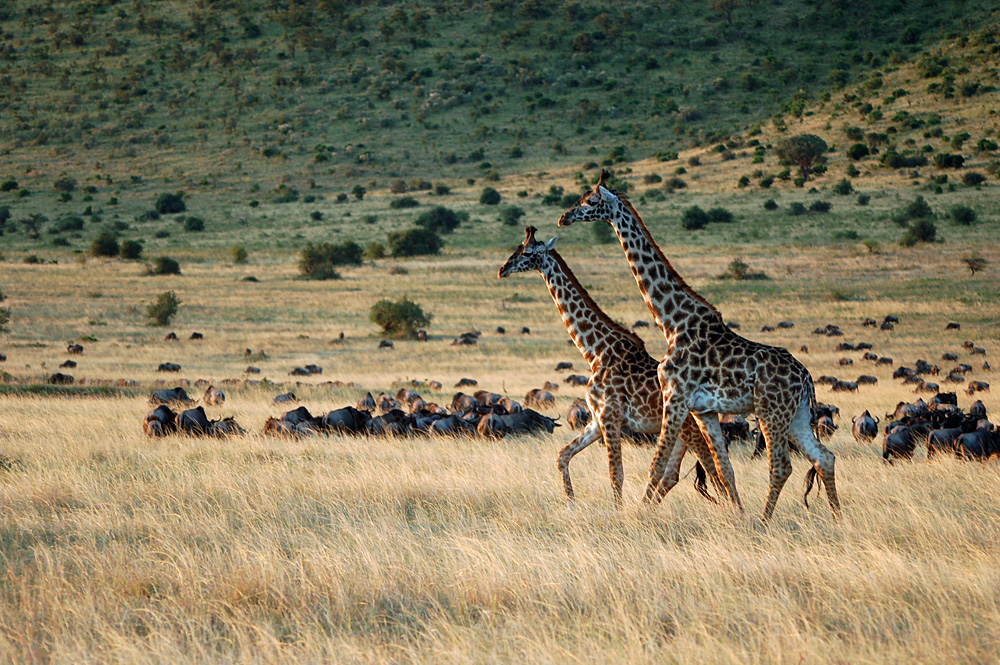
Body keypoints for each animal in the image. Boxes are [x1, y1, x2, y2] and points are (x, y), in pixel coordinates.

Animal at [498, 226, 728, 506]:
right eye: (518, 248)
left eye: (528, 252)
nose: (503, 269)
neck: (594, 351)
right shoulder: (597, 421)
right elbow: (563, 456)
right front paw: (571, 504)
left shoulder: (610, 418)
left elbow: (615, 475)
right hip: (679, 434)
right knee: (674, 474)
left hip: (688, 429)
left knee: (712, 469)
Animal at [560, 169, 840, 520]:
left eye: (590, 200)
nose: (563, 217)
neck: (672, 323)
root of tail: (806, 378)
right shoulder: (703, 410)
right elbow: (723, 468)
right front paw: (736, 517)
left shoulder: (676, 398)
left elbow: (656, 466)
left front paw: (638, 517)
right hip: (797, 414)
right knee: (824, 457)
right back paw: (837, 518)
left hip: (770, 411)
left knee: (781, 466)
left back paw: (764, 522)